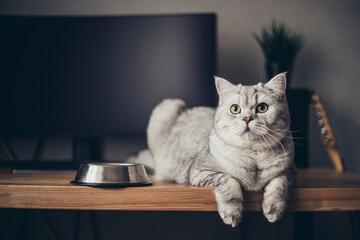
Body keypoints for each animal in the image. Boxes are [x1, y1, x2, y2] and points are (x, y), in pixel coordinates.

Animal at [132, 72, 296, 226]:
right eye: (235, 109)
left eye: (262, 108)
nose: (247, 118)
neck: (253, 157)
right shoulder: (201, 171)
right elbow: (228, 183)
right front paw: (232, 213)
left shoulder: (289, 172)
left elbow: (280, 186)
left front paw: (274, 210)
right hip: (167, 107)